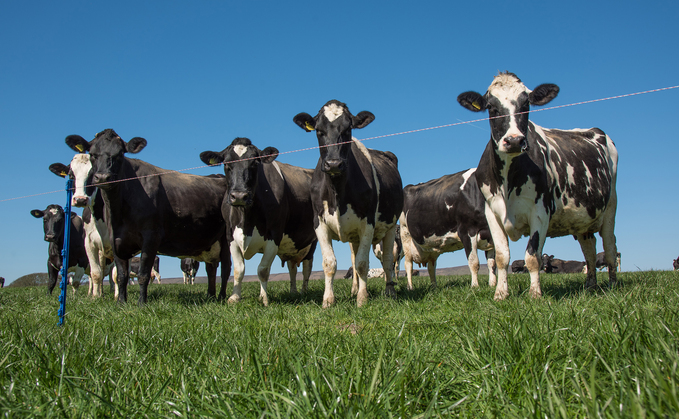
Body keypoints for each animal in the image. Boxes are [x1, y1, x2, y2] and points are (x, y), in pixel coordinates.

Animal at [66, 130, 231, 304]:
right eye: (92, 154)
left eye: (120, 154)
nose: (103, 177)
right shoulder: (116, 241)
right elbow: (121, 275)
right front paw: (121, 302)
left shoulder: (151, 237)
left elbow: (143, 274)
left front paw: (141, 303)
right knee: (211, 268)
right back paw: (211, 296)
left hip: (226, 239)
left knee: (225, 269)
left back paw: (221, 296)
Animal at [199, 138, 318, 306]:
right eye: (227, 163)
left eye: (255, 163)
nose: (239, 196)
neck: (246, 221)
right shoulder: (230, 237)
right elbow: (239, 270)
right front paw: (235, 297)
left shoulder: (274, 236)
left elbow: (262, 270)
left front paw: (264, 298)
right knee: (292, 268)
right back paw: (293, 291)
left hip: (312, 241)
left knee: (307, 268)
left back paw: (303, 291)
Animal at [294, 99, 404, 306]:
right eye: (318, 131)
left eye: (347, 130)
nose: (334, 164)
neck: (338, 194)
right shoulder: (319, 223)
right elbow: (330, 263)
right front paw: (328, 301)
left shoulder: (368, 223)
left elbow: (362, 263)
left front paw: (362, 299)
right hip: (354, 235)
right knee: (354, 258)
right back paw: (354, 289)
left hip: (391, 227)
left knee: (387, 261)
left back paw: (390, 291)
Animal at [460, 73, 620, 302]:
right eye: (491, 107)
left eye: (526, 104)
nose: (514, 141)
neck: (508, 181)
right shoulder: (492, 212)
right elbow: (501, 257)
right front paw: (500, 293)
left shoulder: (541, 210)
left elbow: (532, 256)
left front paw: (535, 294)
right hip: (583, 219)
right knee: (589, 249)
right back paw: (590, 285)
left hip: (610, 207)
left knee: (609, 247)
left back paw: (613, 285)